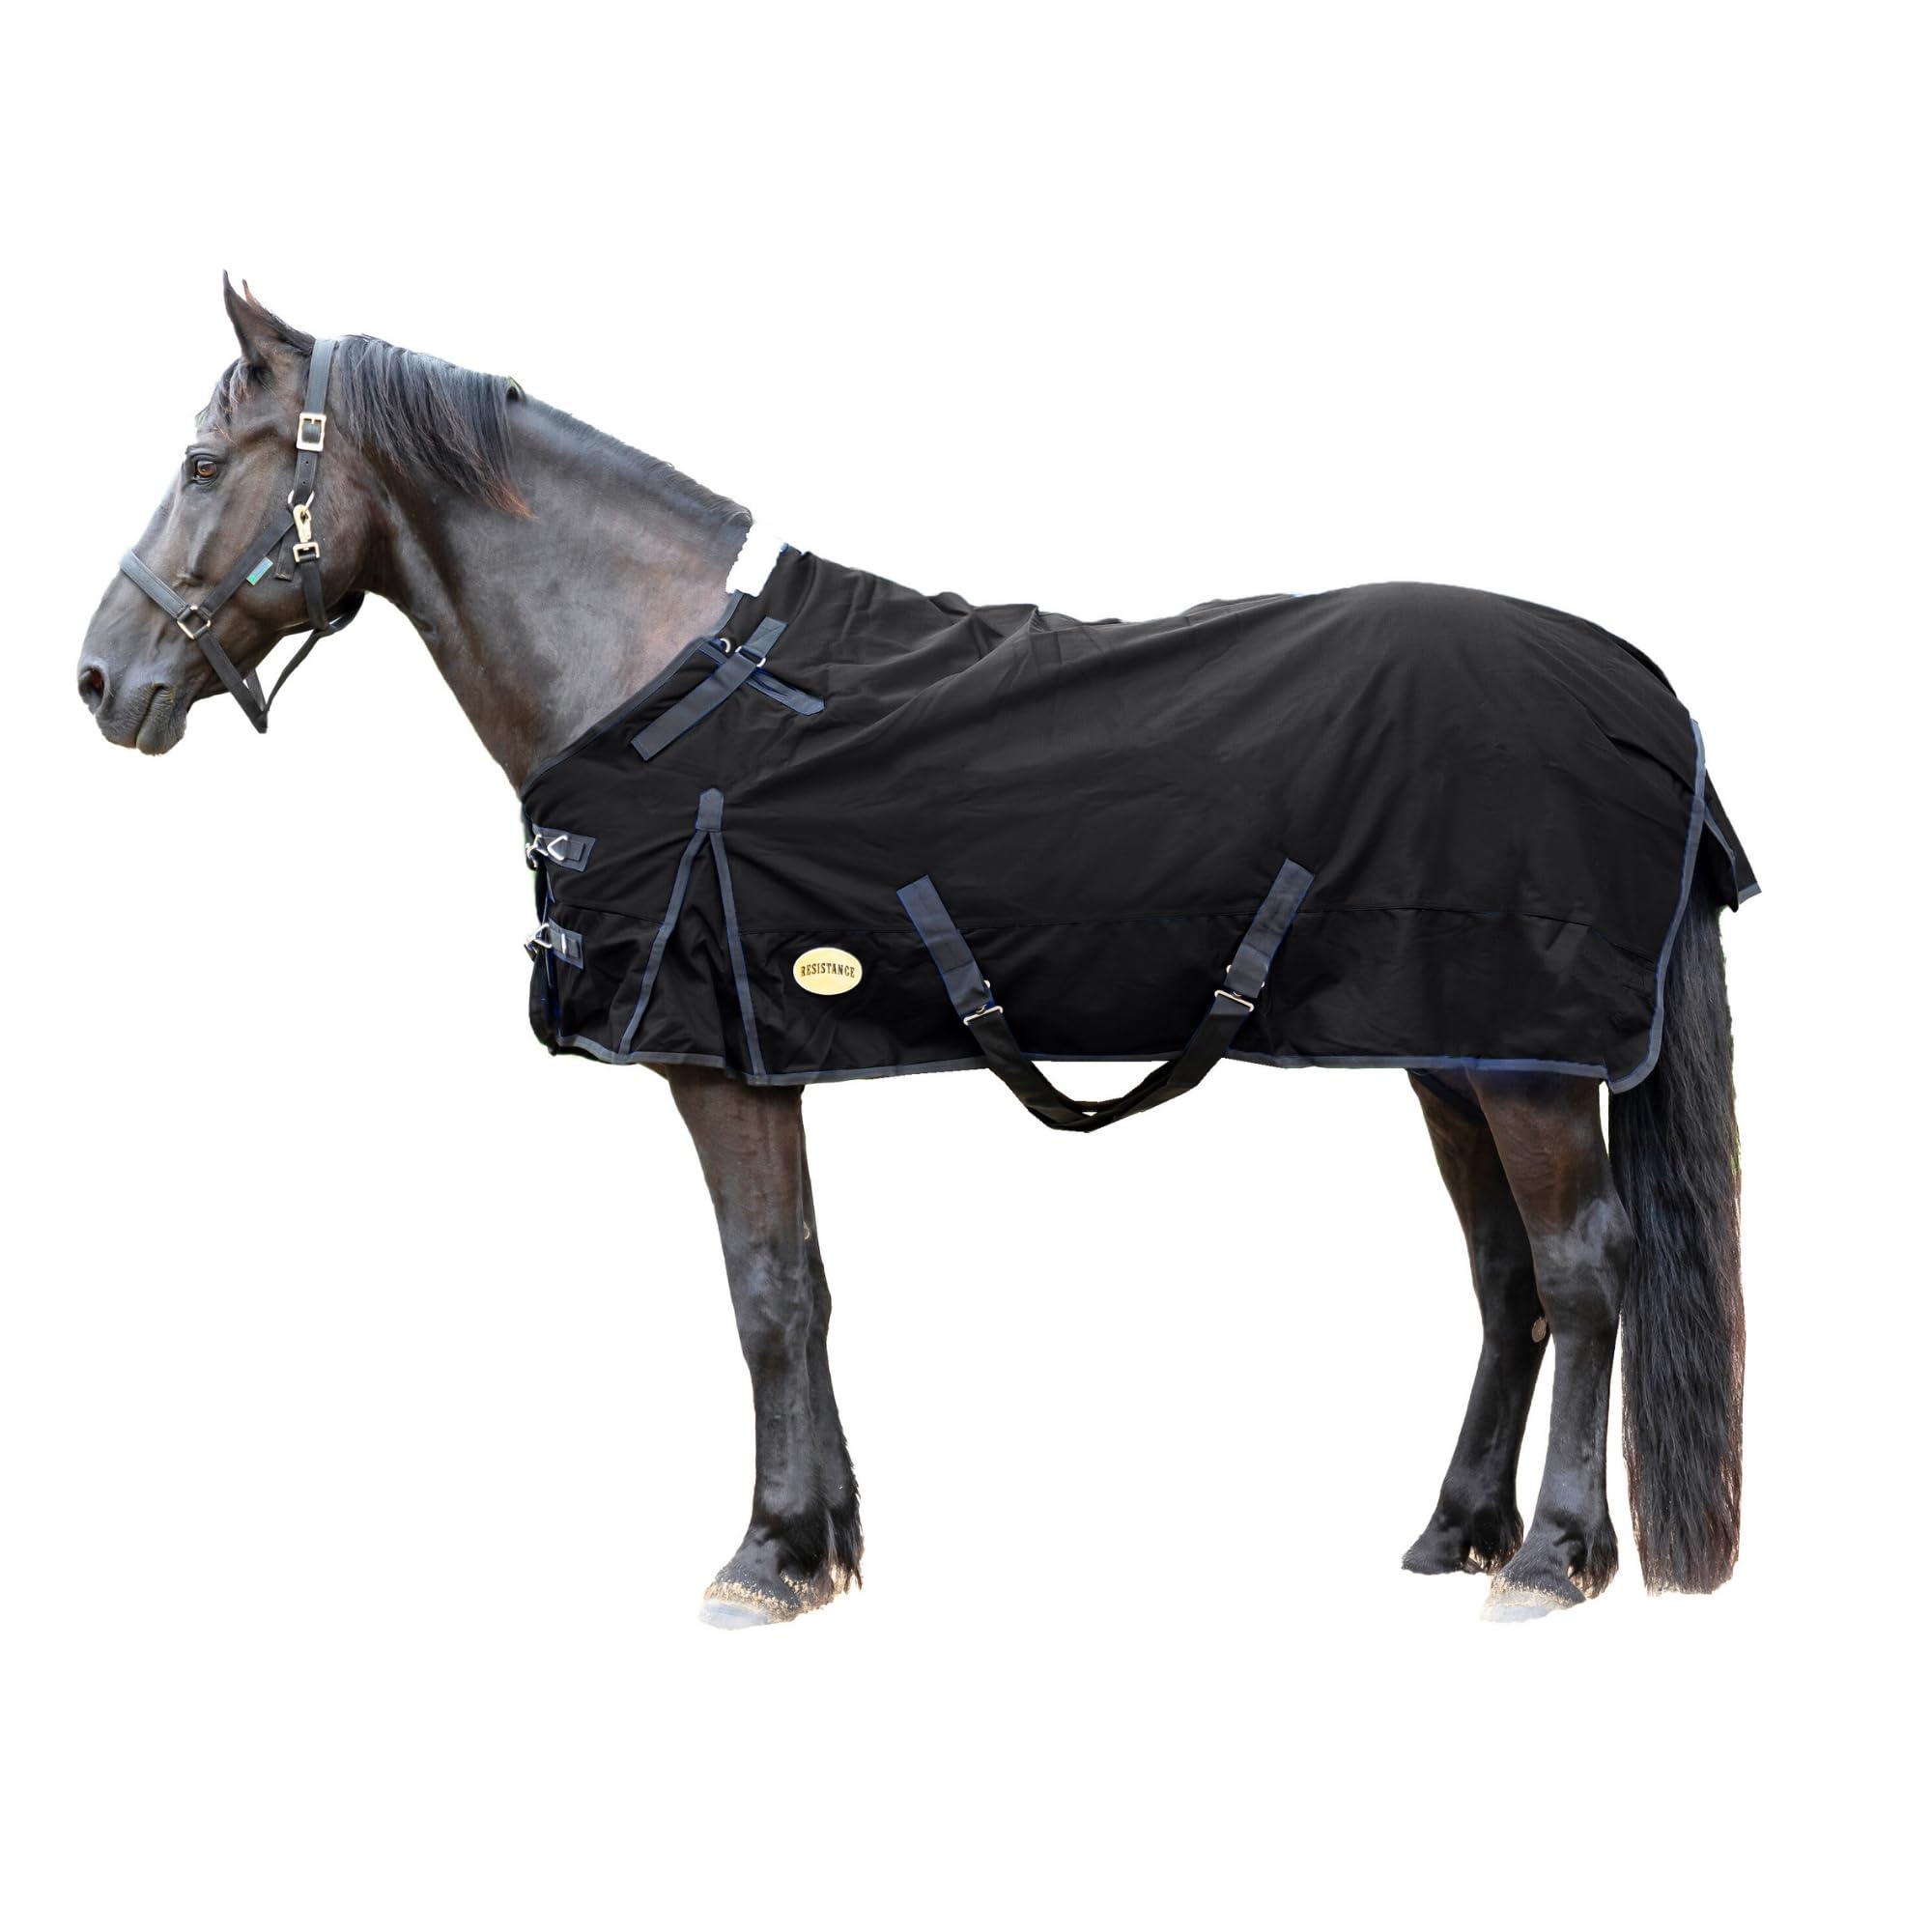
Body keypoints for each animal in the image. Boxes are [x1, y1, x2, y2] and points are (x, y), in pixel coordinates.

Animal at [78, 278, 1748, 1626]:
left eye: (202, 464)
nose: (100, 677)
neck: (656, 674)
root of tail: (1641, 688)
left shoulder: (712, 1062)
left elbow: (762, 1292)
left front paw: (763, 1560)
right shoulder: (763, 1056)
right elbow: (807, 1286)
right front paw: (824, 1545)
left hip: (1527, 1064)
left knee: (1584, 1267)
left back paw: (1554, 1559)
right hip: (1452, 1049)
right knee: (1506, 1275)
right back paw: (1459, 1531)